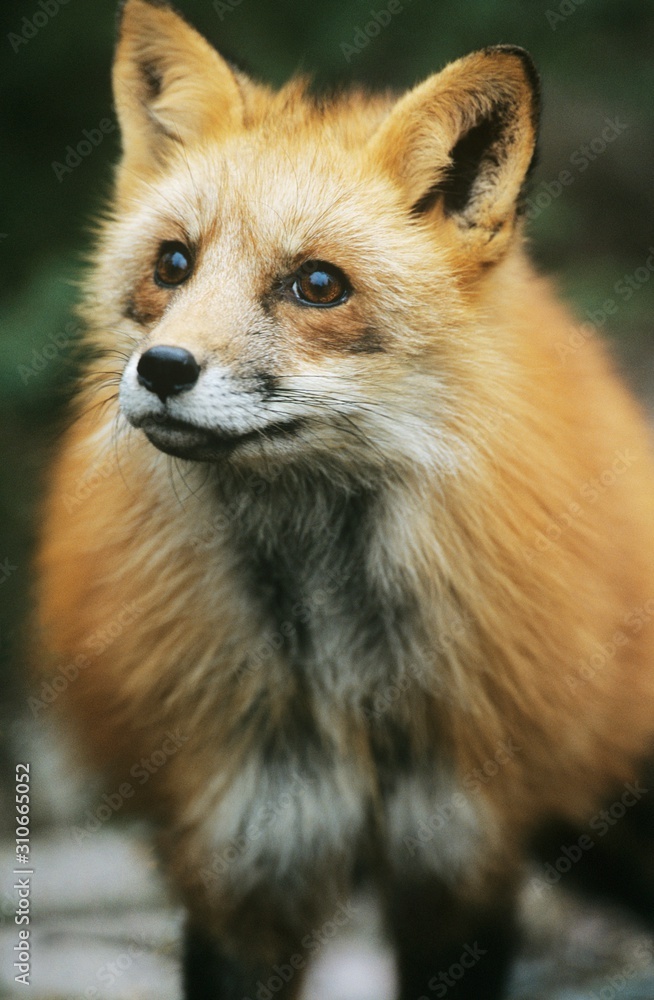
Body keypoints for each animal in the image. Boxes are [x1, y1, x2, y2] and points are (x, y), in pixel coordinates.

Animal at [35, 1, 654, 997]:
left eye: (318, 284)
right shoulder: (241, 861)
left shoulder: (461, 859)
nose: (161, 370)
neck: (338, 673)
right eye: (173, 264)